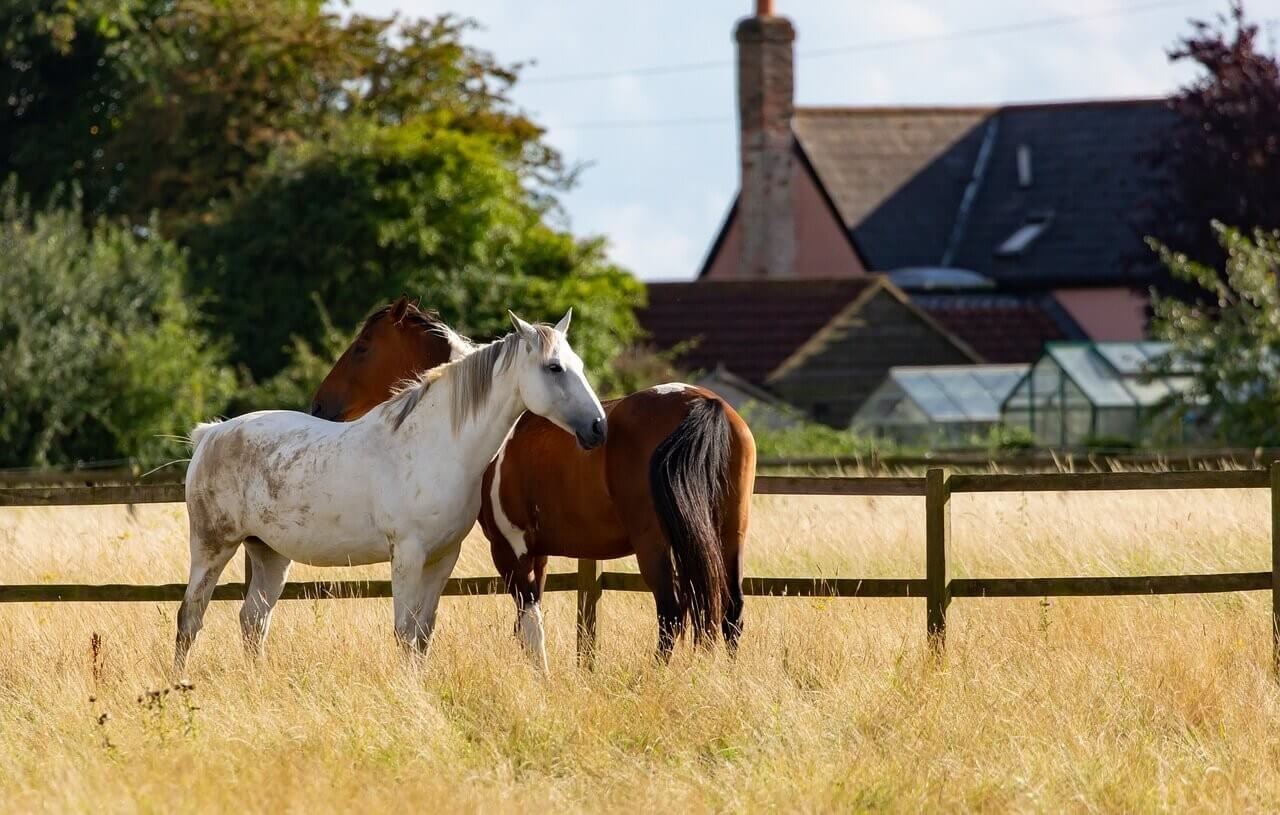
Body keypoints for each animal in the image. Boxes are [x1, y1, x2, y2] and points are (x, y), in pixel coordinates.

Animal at [177, 310, 605, 669]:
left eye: (579, 366)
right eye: (554, 367)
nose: (598, 427)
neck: (436, 444)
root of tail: (211, 434)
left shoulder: (442, 558)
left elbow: (423, 635)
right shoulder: (407, 555)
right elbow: (404, 633)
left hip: (269, 555)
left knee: (253, 620)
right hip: (212, 548)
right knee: (190, 617)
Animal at [311, 297, 757, 667]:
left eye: (362, 347)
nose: (320, 405)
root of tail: (703, 402)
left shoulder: (509, 550)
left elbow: (528, 623)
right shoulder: (537, 552)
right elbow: (527, 626)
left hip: (655, 543)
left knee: (672, 611)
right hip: (729, 534)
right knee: (730, 611)